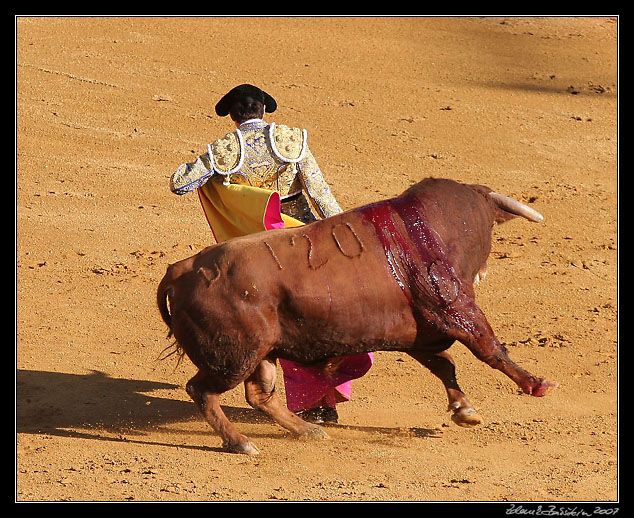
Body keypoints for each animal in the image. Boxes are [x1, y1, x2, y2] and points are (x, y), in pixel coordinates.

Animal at [157, 178, 552, 456]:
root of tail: (180, 270)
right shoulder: (453, 307)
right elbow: (489, 348)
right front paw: (536, 383)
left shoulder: (420, 333)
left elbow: (444, 364)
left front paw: (464, 409)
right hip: (234, 357)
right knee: (202, 390)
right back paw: (241, 442)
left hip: (261, 353)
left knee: (259, 395)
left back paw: (309, 430)